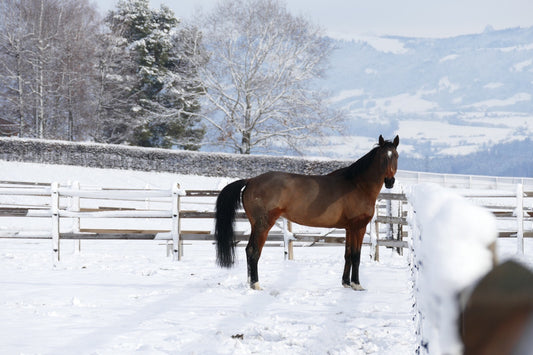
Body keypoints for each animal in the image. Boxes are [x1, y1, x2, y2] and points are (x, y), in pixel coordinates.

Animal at [214, 135, 396, 290]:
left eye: (395, 156)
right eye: (382, 157)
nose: (390, 181)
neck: (357, 185)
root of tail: (251, 180)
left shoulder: (349, 228)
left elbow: (348, 255)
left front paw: (345, 283)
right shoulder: (359, 227)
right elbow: (356, 256)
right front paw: (357, 284)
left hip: (255, 225)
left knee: (248, 251)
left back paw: (249, 283)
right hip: (263, 225)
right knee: (253, 251)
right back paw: (256, 285)